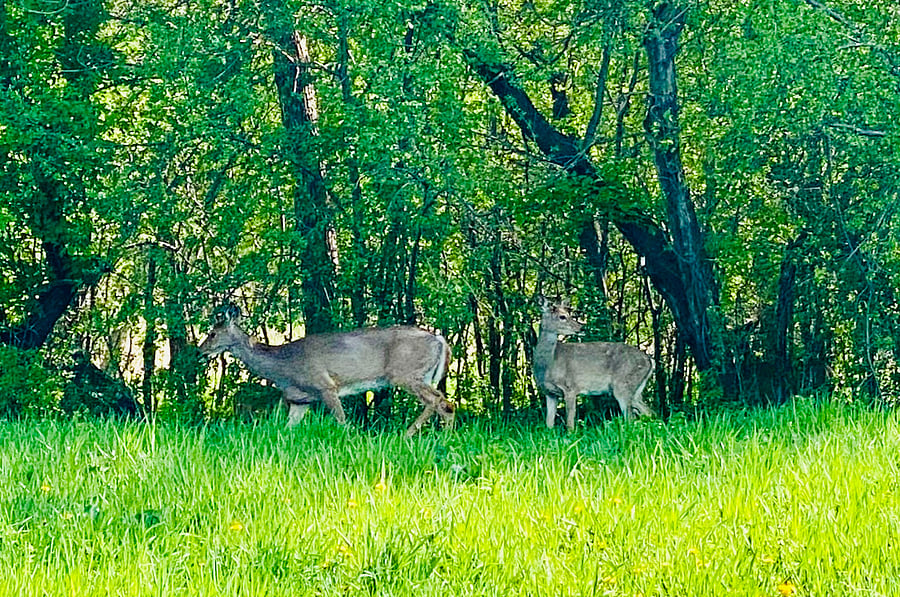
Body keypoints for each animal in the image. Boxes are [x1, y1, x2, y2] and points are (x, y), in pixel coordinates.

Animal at [199, 304, 454, 437]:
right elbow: (285, 429)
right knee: (440, 402)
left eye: (212, 333)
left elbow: (342, 422)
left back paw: (421, 436)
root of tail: (441, 340)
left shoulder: (325, 386)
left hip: (406, 373)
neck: (283, 366)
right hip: (423, 376)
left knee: (440, 401)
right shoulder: (300, 400)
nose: (200, 350)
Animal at [533, 298, 654, 430]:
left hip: (623, 384)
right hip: (636, 390)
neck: (549, 364)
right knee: (648, 412)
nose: (581, 327)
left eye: (569, 314)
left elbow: (570, 423)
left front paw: (571, 434)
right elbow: (549, 424)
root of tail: (649, 361)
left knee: (631, 418)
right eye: (562, 317)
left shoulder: (570, 387)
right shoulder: (549, 393)